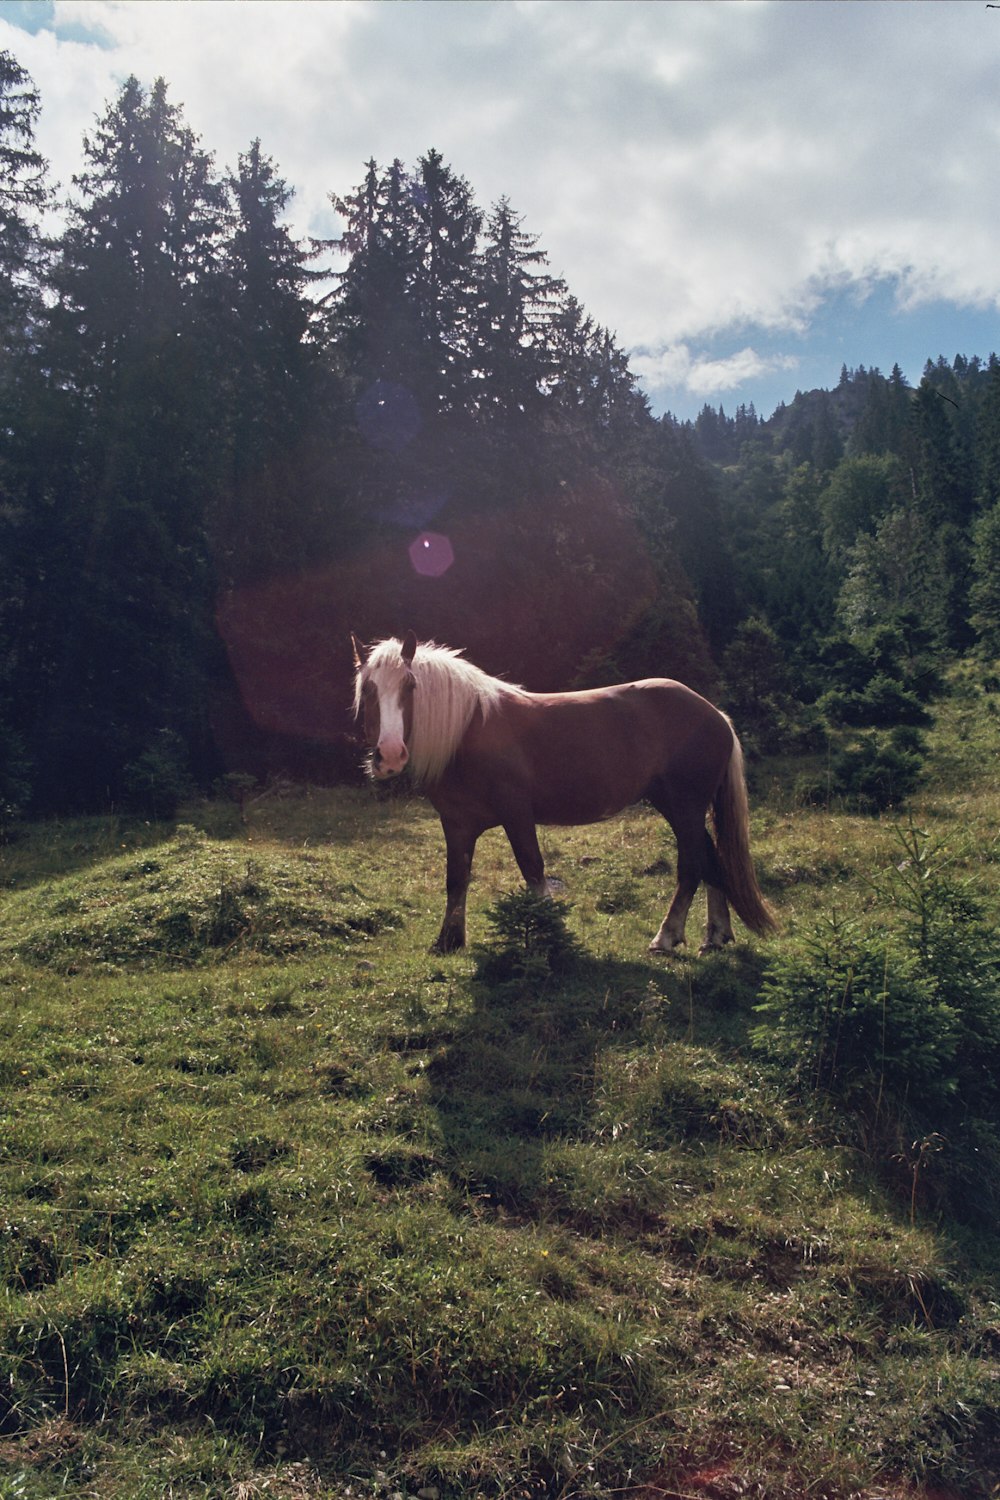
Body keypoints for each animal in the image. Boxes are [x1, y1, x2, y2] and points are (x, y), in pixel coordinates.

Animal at [352, 630, 773, 954]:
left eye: (410, 686)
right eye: (368, 689)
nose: (390, 755)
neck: (468, 730)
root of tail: (715, 714)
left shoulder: (517, 814)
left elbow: (533, 871)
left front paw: (546, 937)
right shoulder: (456, 823)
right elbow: (456, 879)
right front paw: (448, 942)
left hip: (685, 807)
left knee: (690, 867)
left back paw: (666, 937)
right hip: (678, 806)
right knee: (711, 861)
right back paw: (716, 936)